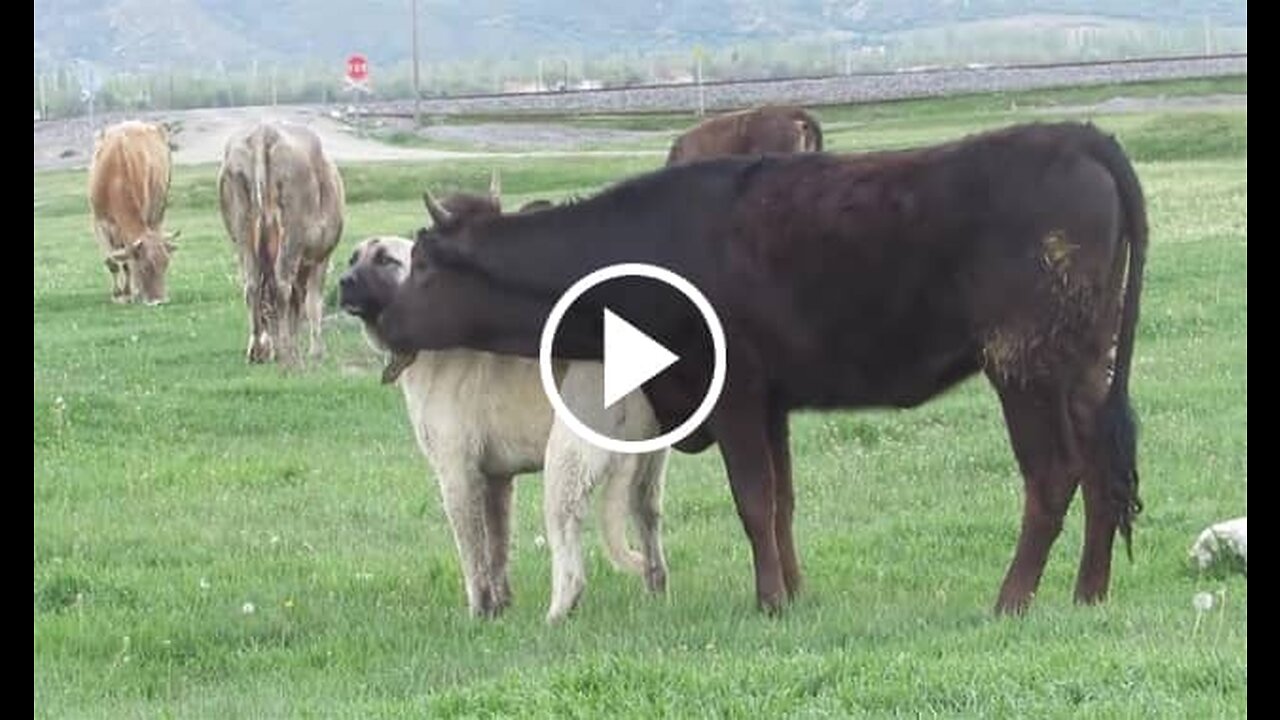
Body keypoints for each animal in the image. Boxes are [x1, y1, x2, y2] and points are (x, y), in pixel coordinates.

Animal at [87, 119, 177, 302]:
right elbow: (112, 261)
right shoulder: (99, 222)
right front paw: (118, 294)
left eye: (166, 264)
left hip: (158, 210)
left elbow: (127, 263)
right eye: (145, 267)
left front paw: (131, 292)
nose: (159, 300)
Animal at [217, 121, 345, 363]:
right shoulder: (320, 258)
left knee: (252, 285)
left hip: (242, 231)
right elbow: (312, 303)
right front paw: (315, 351)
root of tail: (263, 131)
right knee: (282, 285)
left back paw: (257, 349)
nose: (269, 350)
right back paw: (286, 354)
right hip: (291, 236)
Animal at [340, 230, 670, 622]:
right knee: (651, 537)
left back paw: (556, 615)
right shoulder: (496, 482)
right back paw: (655, 598)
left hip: (563, 469)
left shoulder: (458, 477)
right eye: (352, 259)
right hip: (645, 478)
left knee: (570, 564)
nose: (343, 282)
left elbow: (473, 556)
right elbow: (496, 551)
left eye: (386, 260)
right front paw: (499, 609)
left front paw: (478, 612)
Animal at [378, 120, 1152, 614]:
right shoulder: (773, 398)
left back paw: (1012, 599)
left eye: (421, 262)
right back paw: (1090, 593)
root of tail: (1076, 134)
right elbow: (781, 501)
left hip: (1023, 366)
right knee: (1101, 469)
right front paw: (796, 590)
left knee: (1053, 475)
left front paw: (770, 600)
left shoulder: (735, 392)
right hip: (1085, 366)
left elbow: (752, 499)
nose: (376, 315)